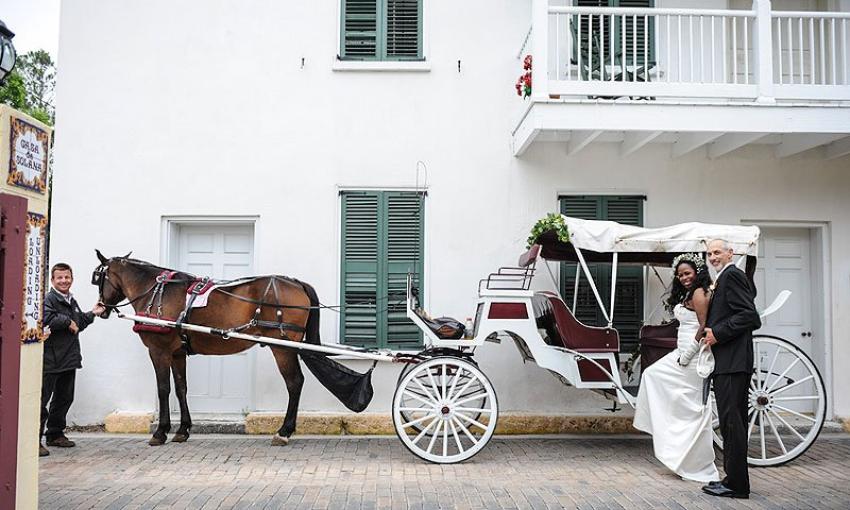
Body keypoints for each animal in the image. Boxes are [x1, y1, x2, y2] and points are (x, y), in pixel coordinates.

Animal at [92, 251, 332, 446]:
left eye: (98, 278)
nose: (100, 308)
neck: (158, 292)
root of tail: (296, 283)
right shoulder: (178, 353)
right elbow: (181, 388)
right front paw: (183, 430)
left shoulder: (158, 351)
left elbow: (163, 389)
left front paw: (160, 432)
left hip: (282, 347)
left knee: (294, 382)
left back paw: (283, 432)